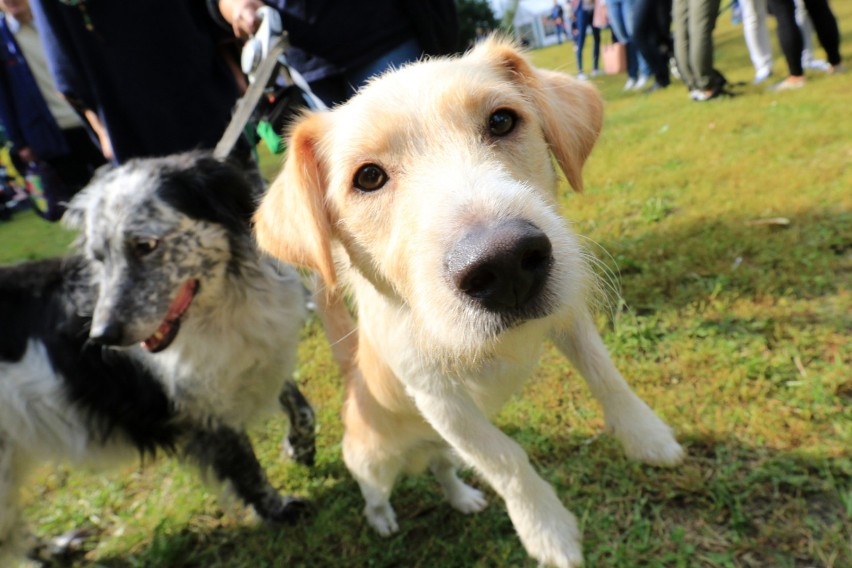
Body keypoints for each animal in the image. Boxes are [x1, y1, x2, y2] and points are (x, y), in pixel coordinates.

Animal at [0, 152, 316, 564]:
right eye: (99, 257)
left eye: (145, 245)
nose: (101, 336)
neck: (223, 306)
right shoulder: (203, 413)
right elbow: (247, 468)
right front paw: (278, 510)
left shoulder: (261, 355)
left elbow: (301, 408)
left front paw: (299, 448)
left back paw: (59, 547)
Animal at [255, 38, 684, 568]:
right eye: (368, 177)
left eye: (501, 120)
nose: (505, 265)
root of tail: (353, 373)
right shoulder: (441, 401)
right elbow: (504, 457)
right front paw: (547, 531)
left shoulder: (568, 317)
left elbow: (607, 376)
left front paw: (648, 437)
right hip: (373, 459)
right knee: (374, 490)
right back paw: (382, 519)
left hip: (441, 448)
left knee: (442, 469)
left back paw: (462, 496)